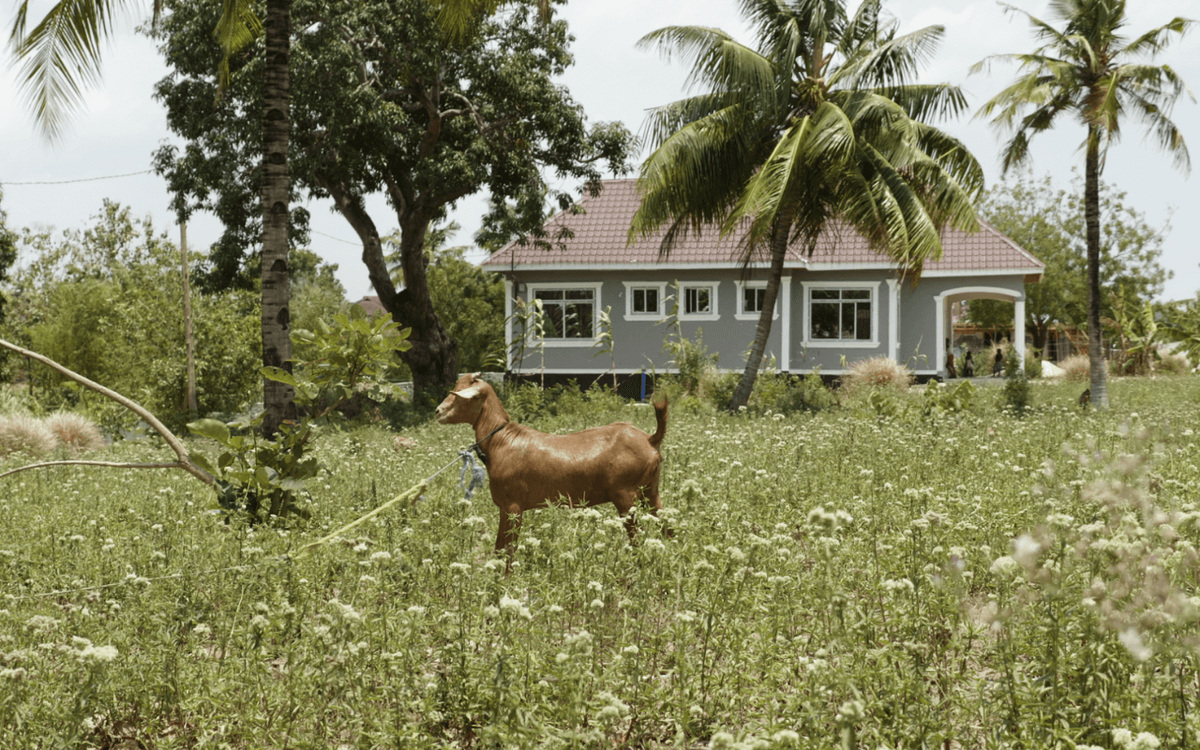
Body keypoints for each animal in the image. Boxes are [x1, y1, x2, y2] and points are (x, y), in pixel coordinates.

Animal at [435, 374, 669, 570]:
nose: (438, 411)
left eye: (462, 395)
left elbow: (509, 550)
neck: (502, 441)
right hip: (650, 491)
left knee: (637, 538)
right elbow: (499, 548)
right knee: (667, 527)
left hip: (626, 495)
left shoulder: (513, 505)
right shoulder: (505, 507)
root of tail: (650, 440)